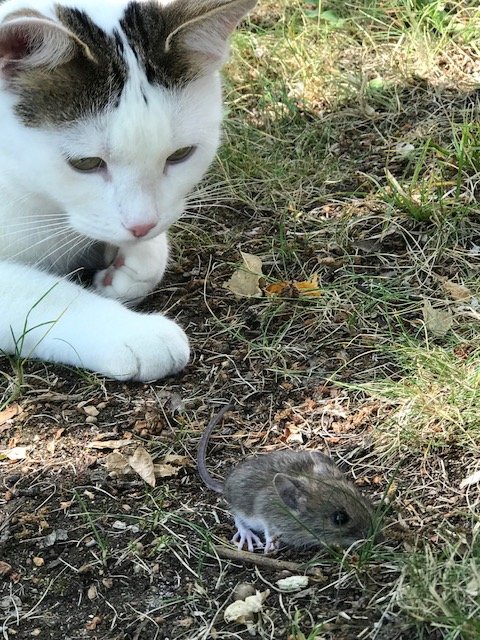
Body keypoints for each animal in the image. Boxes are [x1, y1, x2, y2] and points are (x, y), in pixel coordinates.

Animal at [0, 0, 255, 380]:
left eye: (180, 155)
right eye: (86, 163)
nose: (141, 225)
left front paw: (129, 267)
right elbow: (38, 293)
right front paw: (133, 333)